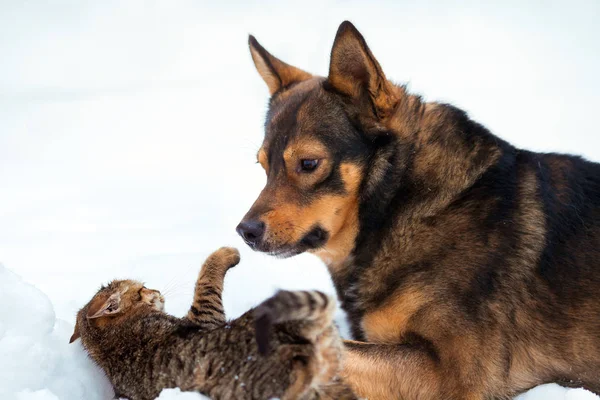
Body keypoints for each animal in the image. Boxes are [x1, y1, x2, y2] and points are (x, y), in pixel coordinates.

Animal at [69, 247, 354, 400]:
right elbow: (207, 278)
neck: (110, 342)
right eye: (142, 289)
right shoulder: (206, 316)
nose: (156, 291)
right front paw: (229, 253)